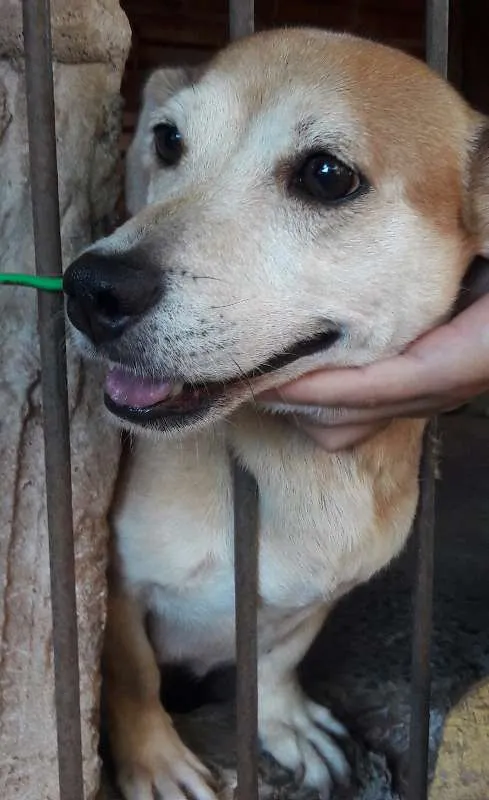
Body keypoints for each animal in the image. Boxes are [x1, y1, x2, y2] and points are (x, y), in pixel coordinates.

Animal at [63, 26, 488, 800]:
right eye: (168, 139)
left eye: (325, 175)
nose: (91, 289)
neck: (294, 468)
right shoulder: (114, 582)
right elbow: (132, 674)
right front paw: (156, 764)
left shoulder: (316, 597)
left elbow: (276, 660)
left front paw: (283, 720)